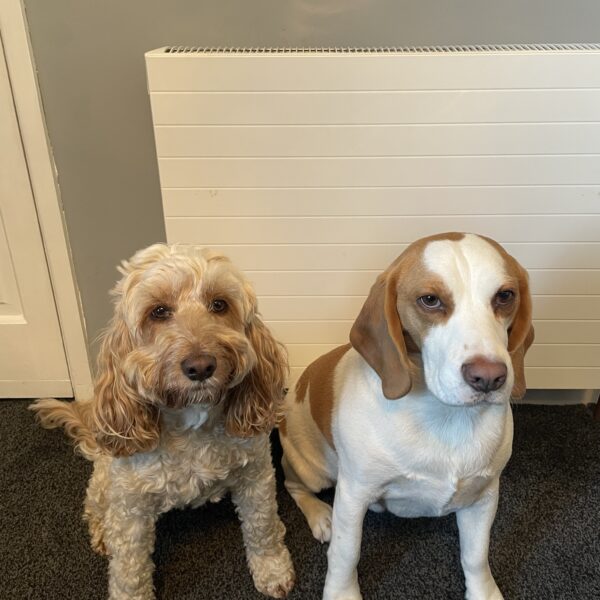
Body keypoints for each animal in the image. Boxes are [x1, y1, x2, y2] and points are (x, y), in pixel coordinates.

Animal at [31, 244, 294, 600]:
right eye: (158, 311)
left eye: (219, 304)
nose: (201, 366)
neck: (192, 423)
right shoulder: (130, 507)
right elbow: (129, 569)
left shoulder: (256, 472)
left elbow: (262, 525)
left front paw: (273, 569)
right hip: (106, 479)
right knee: (94, 504)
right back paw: (101, 532)